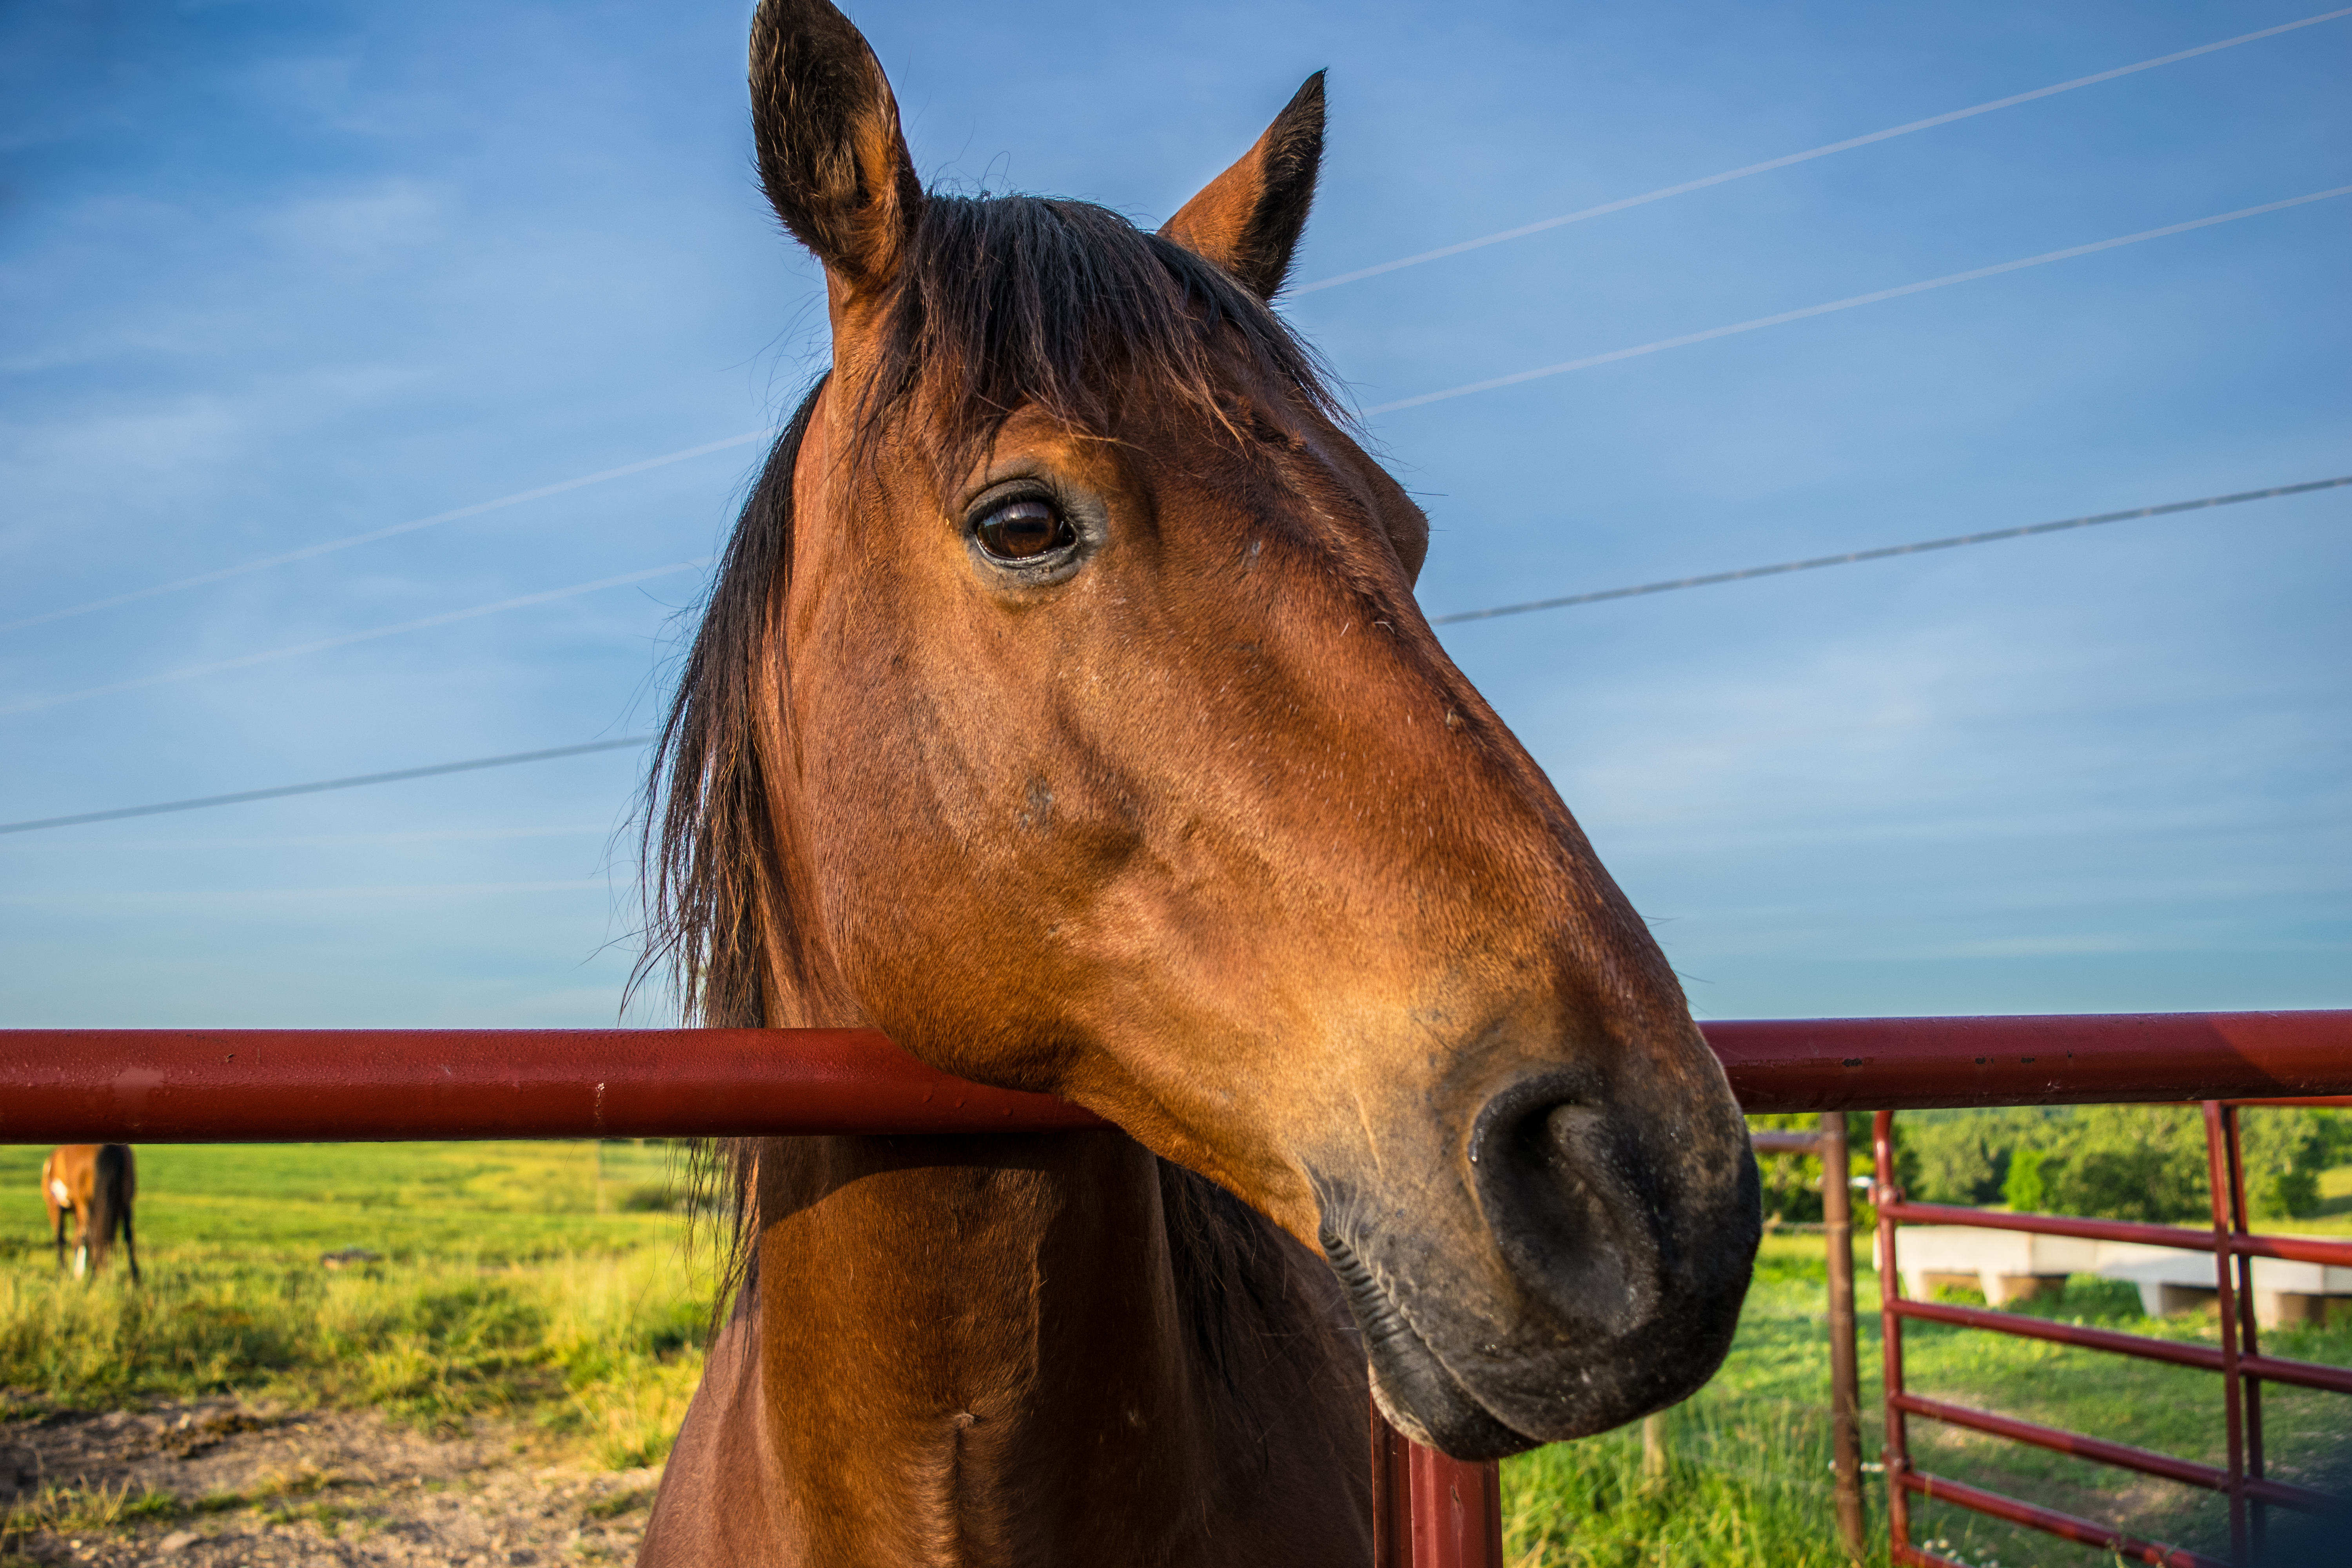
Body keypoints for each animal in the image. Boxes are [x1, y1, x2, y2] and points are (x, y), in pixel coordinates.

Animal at [40, 1142, 138, 1288]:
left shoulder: (55, 1207)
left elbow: (61, 1239)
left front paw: (64, 1273)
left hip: (84, 1204)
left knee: (90, 1237)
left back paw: (93, 1277)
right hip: (125, 1202)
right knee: (127, 1236)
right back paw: (135, 1279)